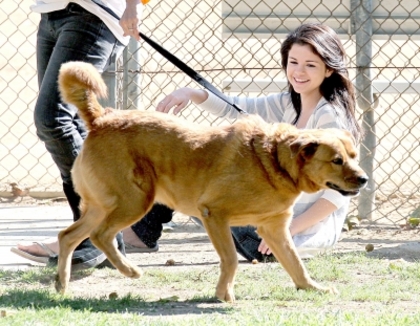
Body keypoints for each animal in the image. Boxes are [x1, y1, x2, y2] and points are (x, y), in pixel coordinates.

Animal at [55, 61, 364, 304]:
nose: (363, 178)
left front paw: (311, 288)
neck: (274, 159)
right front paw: (224, 294)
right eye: (336, 160)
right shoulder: (214, 214)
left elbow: (296, 264)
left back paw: (62, 284)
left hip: (101, 207)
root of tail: (101, 119)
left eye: (354, 156)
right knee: (100, 235)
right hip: (135, 202)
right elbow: (230, 259)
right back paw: (129, 270)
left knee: (68, 236)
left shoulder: (274, 229)